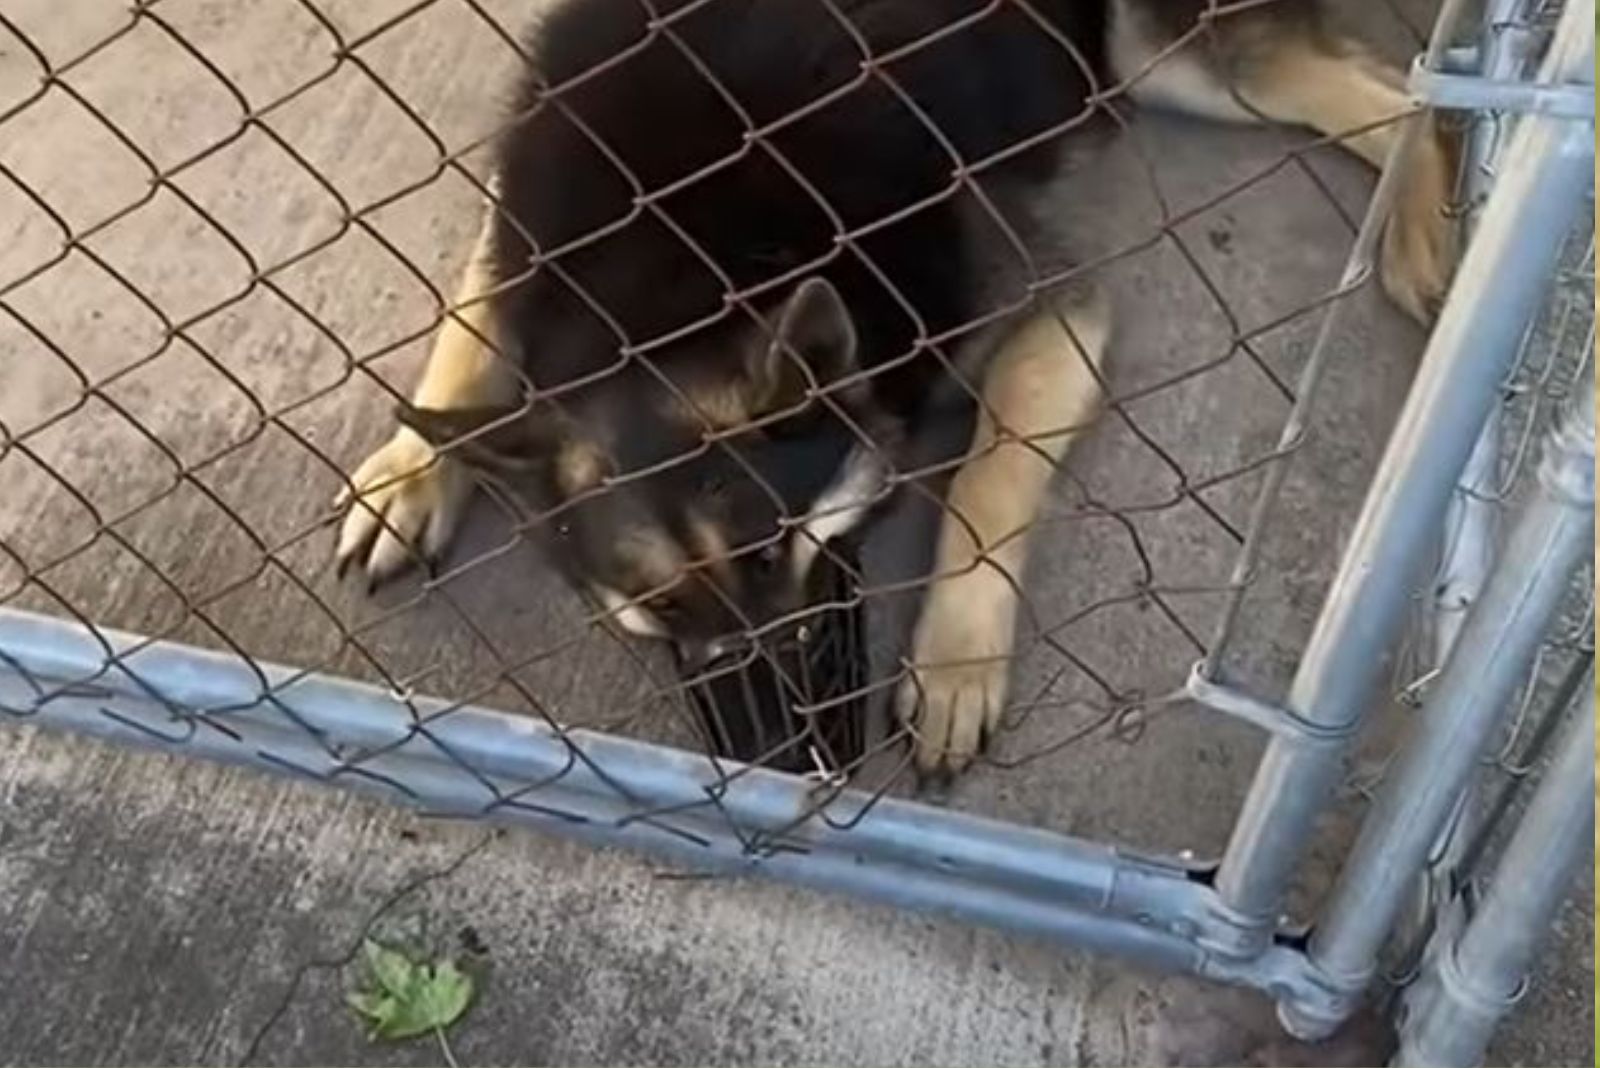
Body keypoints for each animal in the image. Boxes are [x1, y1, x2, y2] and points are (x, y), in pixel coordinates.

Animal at [331, 0, 1459, 777]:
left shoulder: (1051, 311)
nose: (786, 767)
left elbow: (991, 478)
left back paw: (1433, 224)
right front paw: (407, 471)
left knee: (1396, 91)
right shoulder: (521, 224)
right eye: (659, 608)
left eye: (780, 554)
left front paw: (955, 664)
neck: (684, 268)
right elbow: (468, 321)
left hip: (1148, 50)